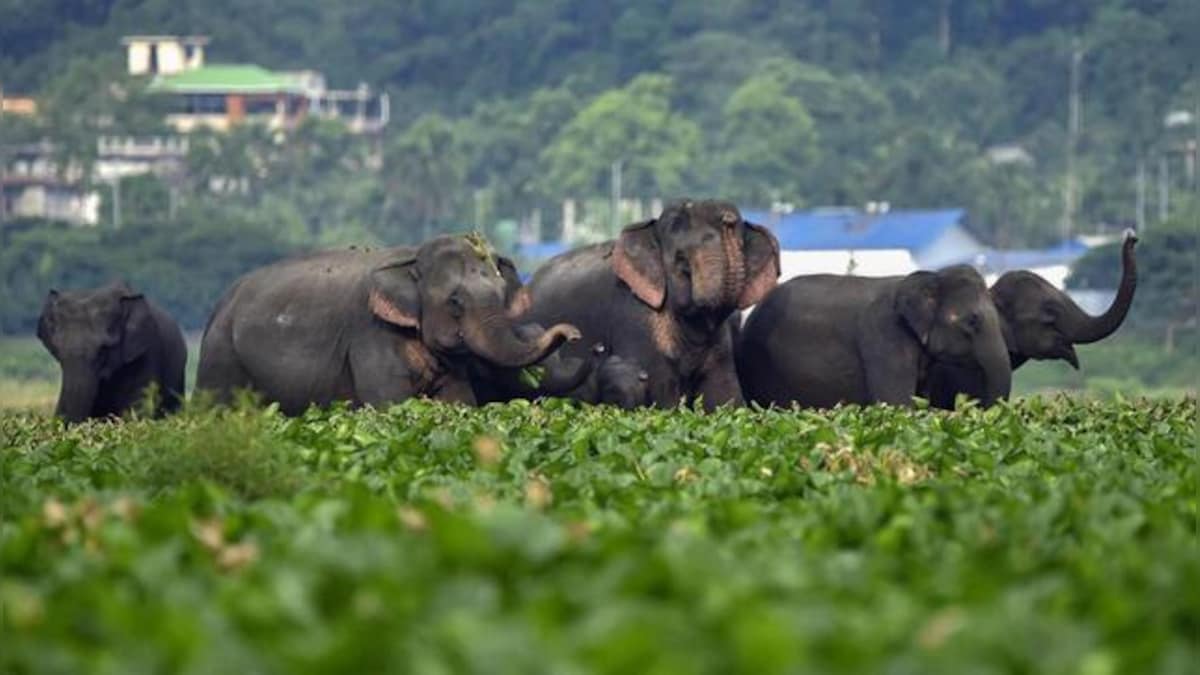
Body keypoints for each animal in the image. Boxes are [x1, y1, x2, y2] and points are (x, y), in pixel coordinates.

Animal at [196, 234, 580, 413]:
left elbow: (458, 403)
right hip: (221, 355)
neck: (411, 258)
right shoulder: (369, 334)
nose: (575, 335)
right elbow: (389, 406)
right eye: (455, 302)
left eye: (502, 295)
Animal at [525, 194, 777, 403]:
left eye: (743, 248)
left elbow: (724, 399)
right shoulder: (634, 314)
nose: (728, 218)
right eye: (682, 261)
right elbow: (661, 398)